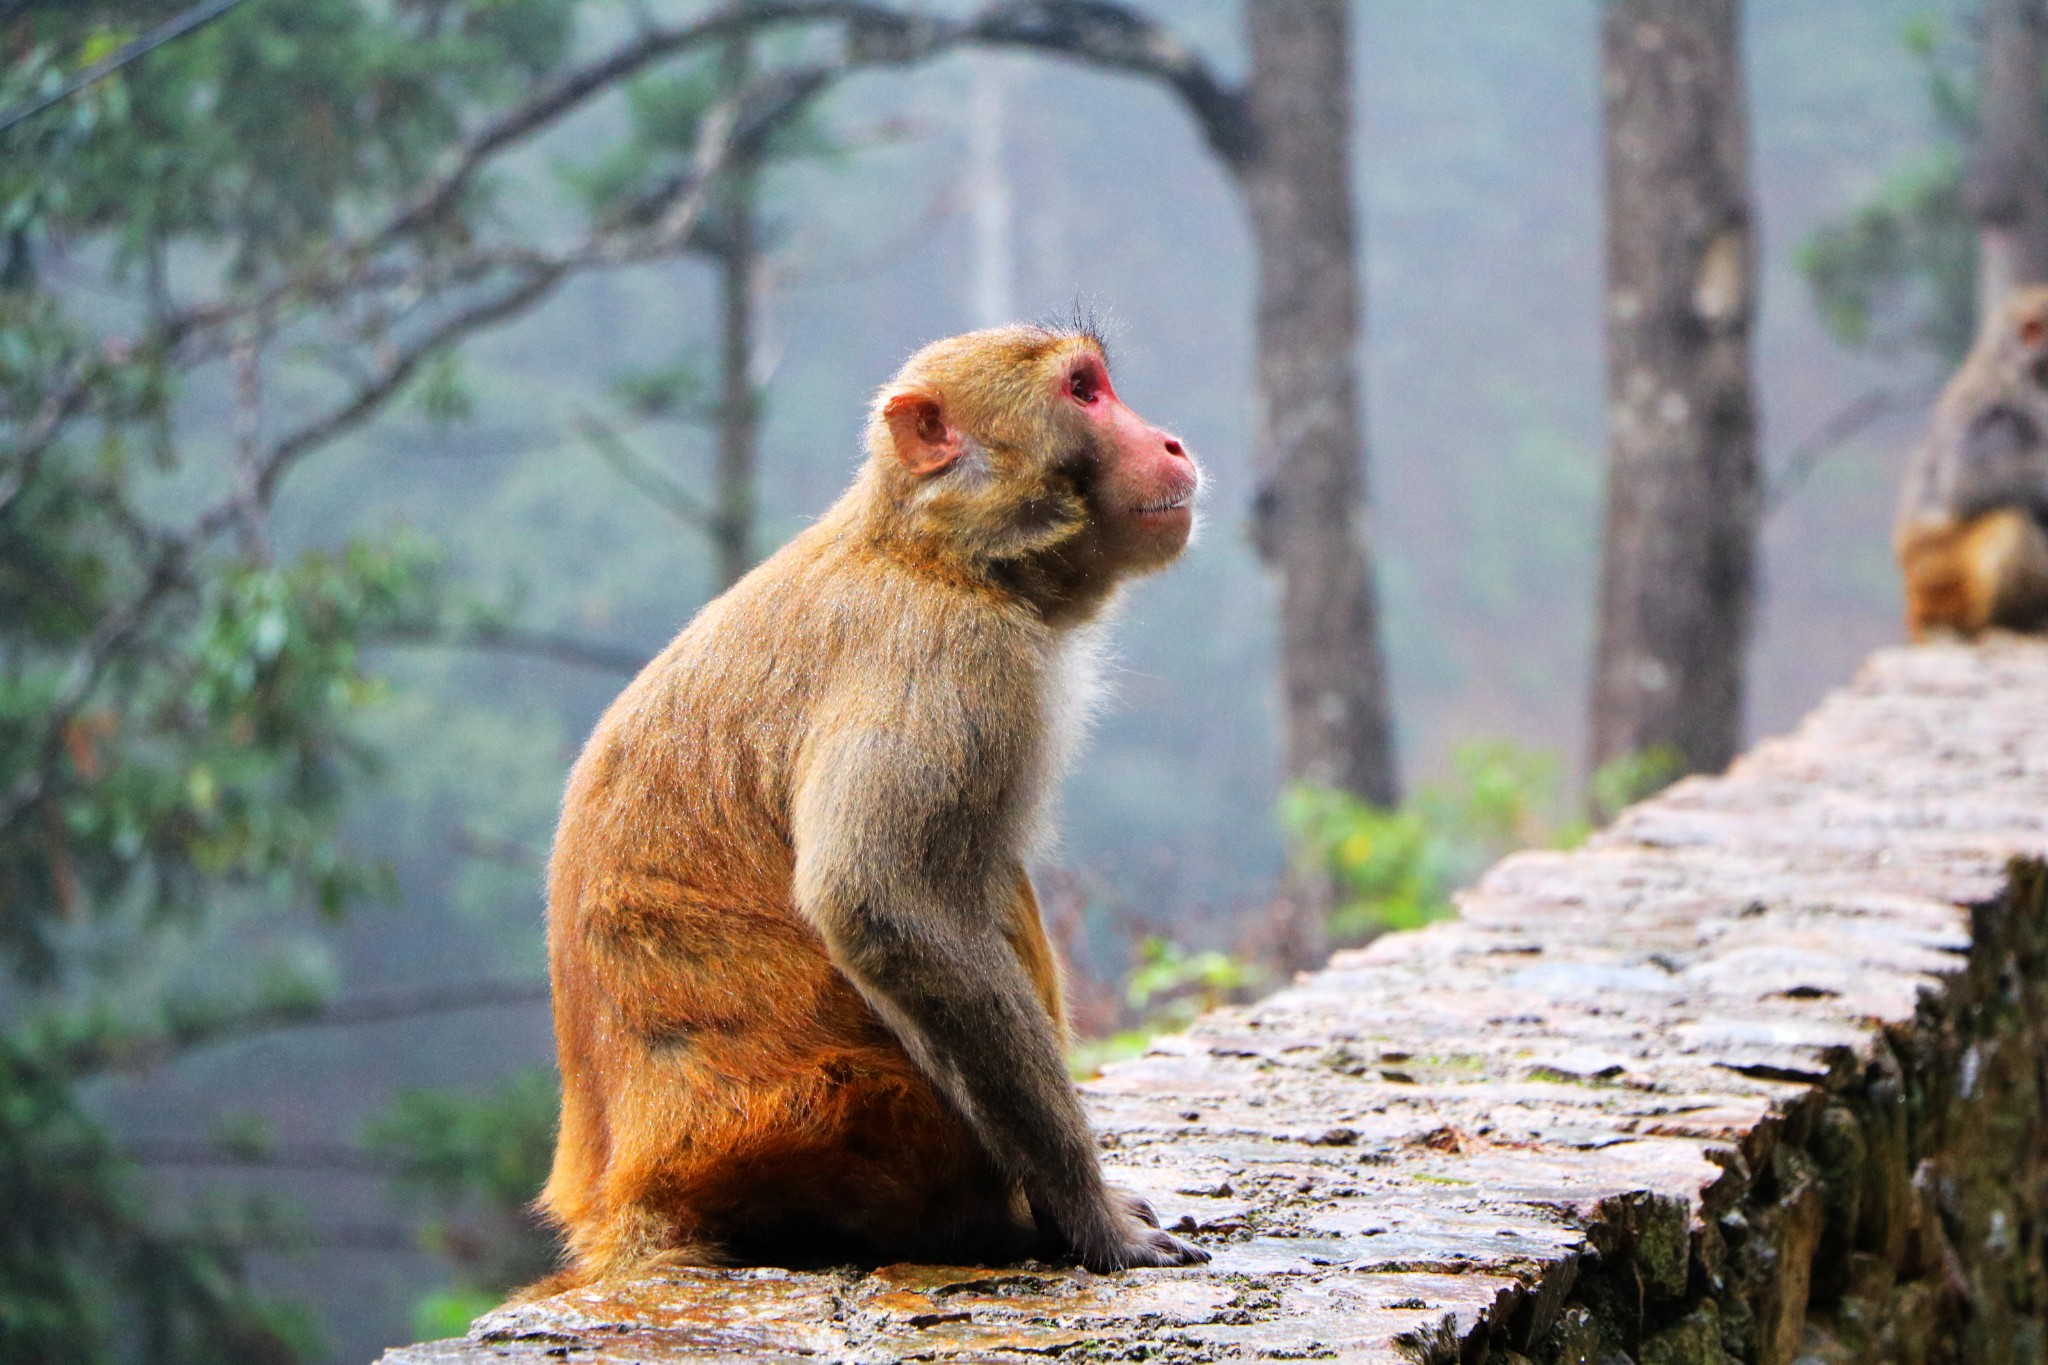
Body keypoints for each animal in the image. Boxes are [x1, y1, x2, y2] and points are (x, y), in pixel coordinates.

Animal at [528, 325, 1204, 1285]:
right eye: (1084, 392)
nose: (1172, 441)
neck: (933, 552)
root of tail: (640, 1201)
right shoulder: (951, 659)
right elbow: (876, 899)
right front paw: (1093, 1217)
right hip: (845, 1122)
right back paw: (1006, 1222)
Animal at [1892, 288, 2048, 642]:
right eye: (2033, 329)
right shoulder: (1998, 395)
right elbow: (1968, 480)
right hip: (1943, 576)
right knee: (2011, 520)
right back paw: (2011, 623)